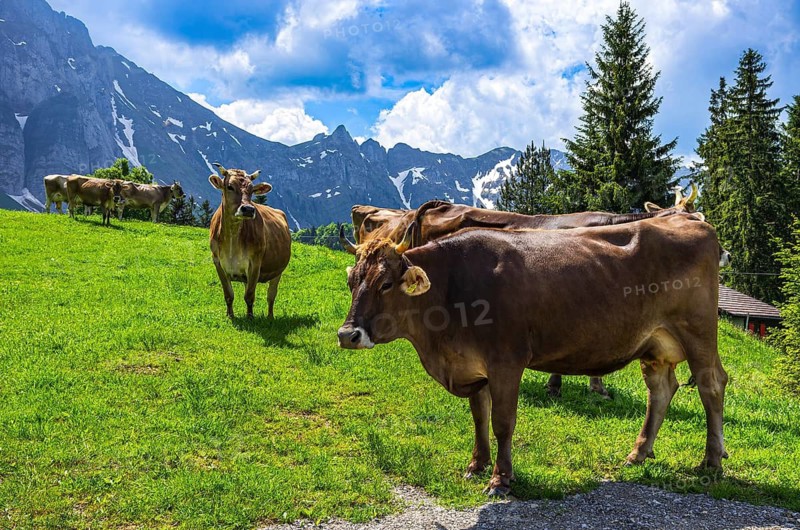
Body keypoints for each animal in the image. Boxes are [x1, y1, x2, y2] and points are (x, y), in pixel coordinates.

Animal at [208, 163, 291, 320]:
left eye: (252, 189)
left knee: (271, 296)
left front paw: (250, 318)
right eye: (229, 186)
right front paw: (230, 316)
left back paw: (270, 317)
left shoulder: (255, 263)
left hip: (278, 271)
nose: (248, 209)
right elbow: (229, 295)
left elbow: (250, 296)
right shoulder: (218, 262)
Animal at [338, 215, 727, 496]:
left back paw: (712, 461)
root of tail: (691, 221)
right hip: (655, 344)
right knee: (661, 390)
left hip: (698, 331)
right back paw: (638, 453)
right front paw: (476, 465)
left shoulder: (506, 362)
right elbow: (478, 417)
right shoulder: (472, 366)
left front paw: (500, 479)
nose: (347, 335)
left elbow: (502, 422)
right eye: (352, 281)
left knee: (712, 385)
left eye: (386, 283)